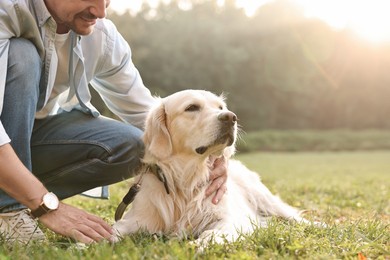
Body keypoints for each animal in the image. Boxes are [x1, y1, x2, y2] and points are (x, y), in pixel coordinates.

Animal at [112, 90, 314, 246]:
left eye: (220, 108)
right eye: (191, 107)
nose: (231, 117)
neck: (187, 179)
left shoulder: (230, 219)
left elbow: (212, 233)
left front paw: (197, 245)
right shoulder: (135, 219)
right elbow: (113, 232)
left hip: (265, 199)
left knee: (295, 217)